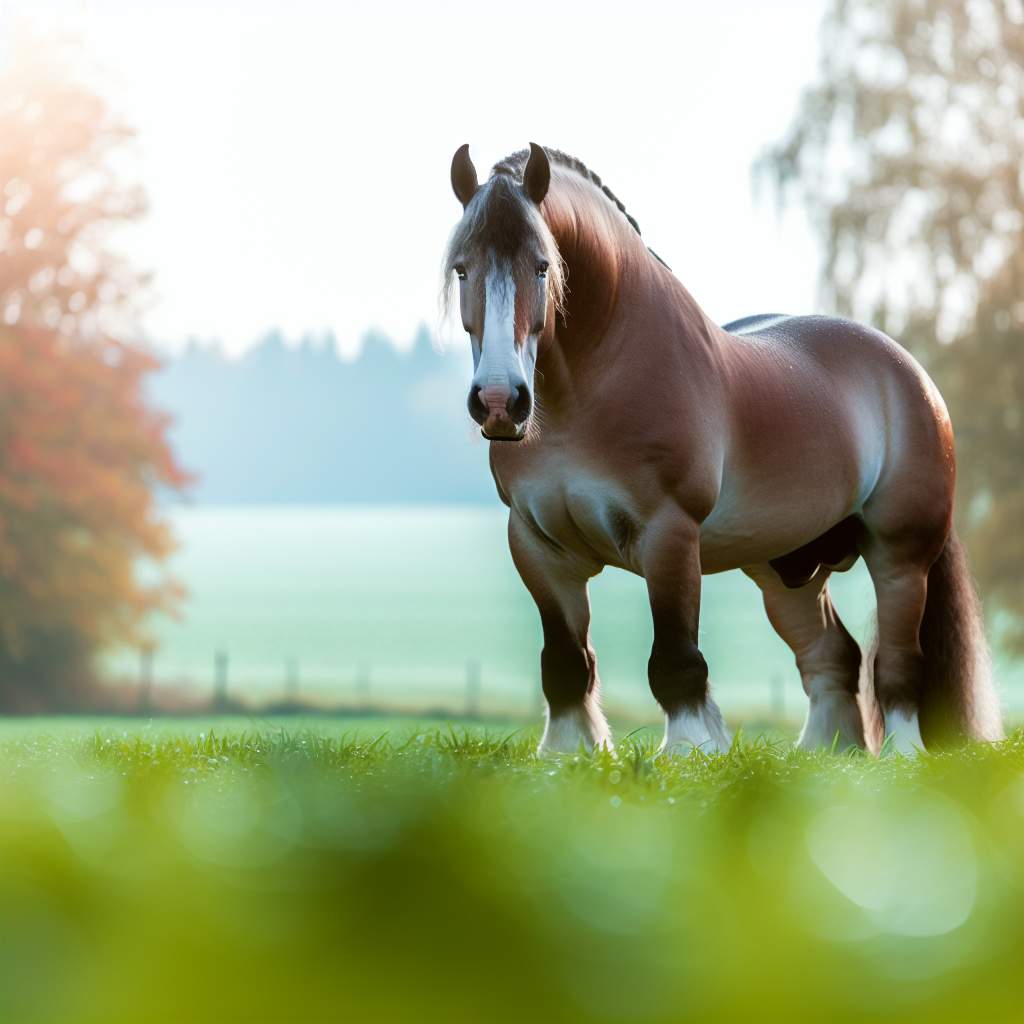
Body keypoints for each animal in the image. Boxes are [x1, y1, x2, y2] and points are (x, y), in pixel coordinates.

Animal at [438, 140, 999, 757]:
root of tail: (911, 373)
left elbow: (675, 659)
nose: (499, 400)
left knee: (898, 665)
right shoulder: (536, 545)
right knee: (833, 656)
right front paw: (568, 752)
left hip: (900, 555)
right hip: (784, 568)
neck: (586, 393)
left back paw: (900, 755)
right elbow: (565, 661)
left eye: (542, 266)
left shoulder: (669, 534)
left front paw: (690, 750)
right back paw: (824, 754)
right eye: (462, 267)